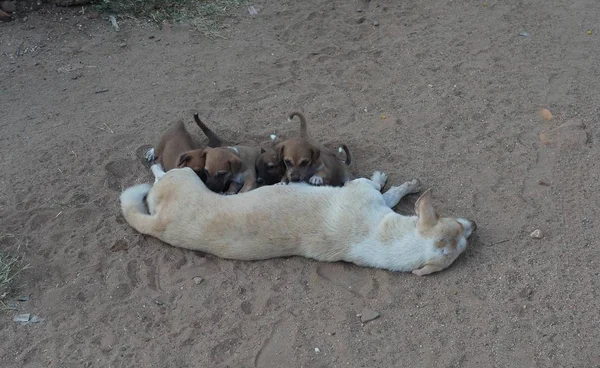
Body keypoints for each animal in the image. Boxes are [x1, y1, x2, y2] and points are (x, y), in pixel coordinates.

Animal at [120, 165, 478, 274]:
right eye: (458, 226)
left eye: (464, 238)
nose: (476, 226)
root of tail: (159, 224)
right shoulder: (367, 193)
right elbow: (385, 188)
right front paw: (402, 183)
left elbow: (388, 192)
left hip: (182, 177)